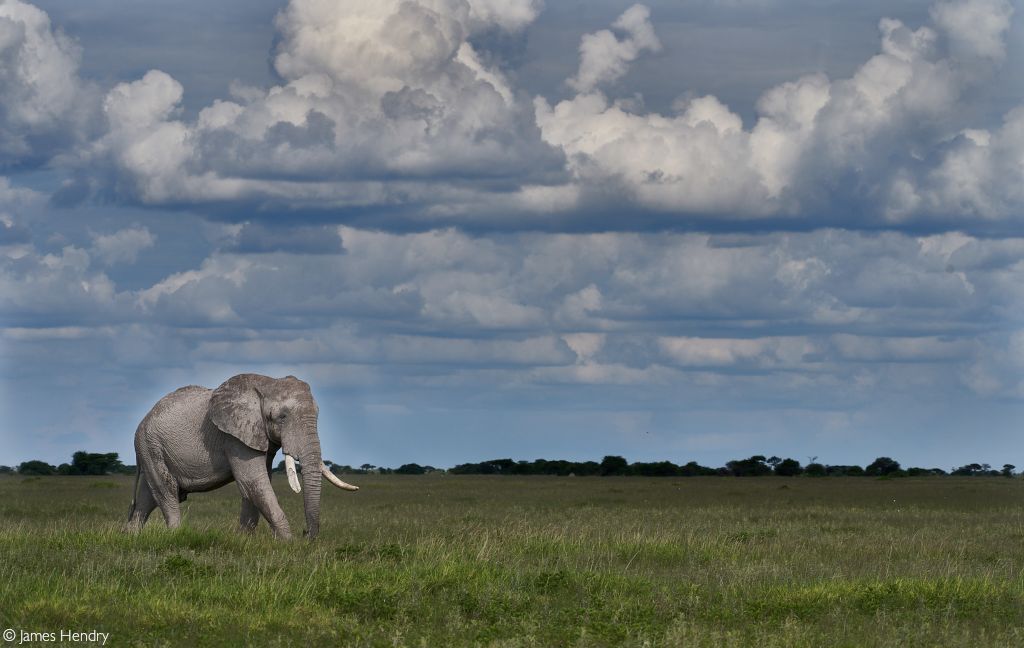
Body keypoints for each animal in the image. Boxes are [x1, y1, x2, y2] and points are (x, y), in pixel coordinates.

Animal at [123, 370, 358, 536]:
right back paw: (176, 534)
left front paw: (244, 540)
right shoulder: (234, 437)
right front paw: (287, 543)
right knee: (167, 492)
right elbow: (254, 481)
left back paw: (130, 536)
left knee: (147, 497)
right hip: (150, 445)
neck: (267, 384)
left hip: (151, 449)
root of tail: (144, 419)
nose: (306, 534)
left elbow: (255, 485)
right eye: (281, 417)